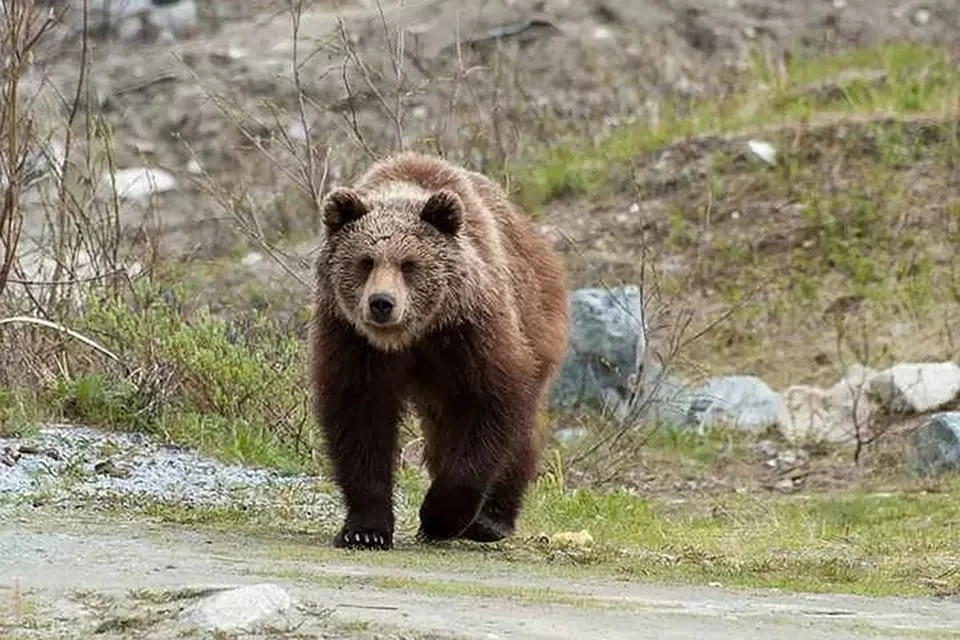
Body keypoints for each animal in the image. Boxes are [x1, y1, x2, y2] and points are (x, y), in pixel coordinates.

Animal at [310, 151, 568, 552]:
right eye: (366, 261)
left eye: (409, 265)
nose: (381, 303)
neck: (412, 338)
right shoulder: (352, 341)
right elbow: (360, 419)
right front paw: (365, 529)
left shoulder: (470, 334)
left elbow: (488, 406)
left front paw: (439, 517)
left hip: (537, 323)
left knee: (518, 435)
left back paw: (491, 520)